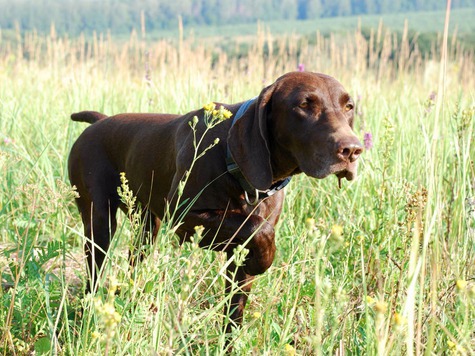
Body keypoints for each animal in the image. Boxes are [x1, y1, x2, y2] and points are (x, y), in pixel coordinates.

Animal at [69, 71, 362, 332]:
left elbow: (234, 311)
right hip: (99, 223)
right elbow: (258, 227)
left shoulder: (236, 254)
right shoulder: (185, 220)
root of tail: (99, 122)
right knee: (94, 272)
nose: (352, 150)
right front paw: (263, 260)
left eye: (349, 107)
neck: (233, 160)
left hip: (147, 225)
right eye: (303, 104)